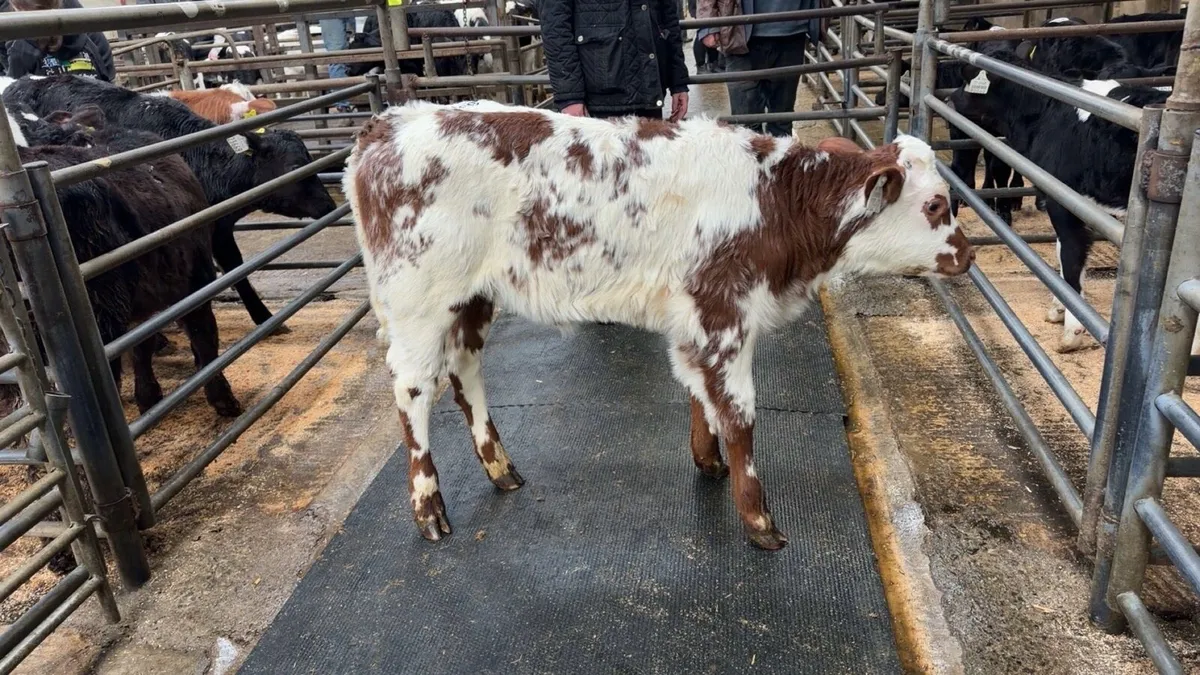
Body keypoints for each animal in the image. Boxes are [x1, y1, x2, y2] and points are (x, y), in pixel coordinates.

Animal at [343, 101, 974, 549]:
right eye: (936, 205)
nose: (969, 255)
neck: (775, 199)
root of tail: (391, 121)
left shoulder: (697, 319)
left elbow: (700, 393)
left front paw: (708, 461)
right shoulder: (724, 312)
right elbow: (740, 413)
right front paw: (759, 519)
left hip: (471, 298)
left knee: (466, 372)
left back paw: (501, 469)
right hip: (418, 301)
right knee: (413, 389)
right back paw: (429, 507)